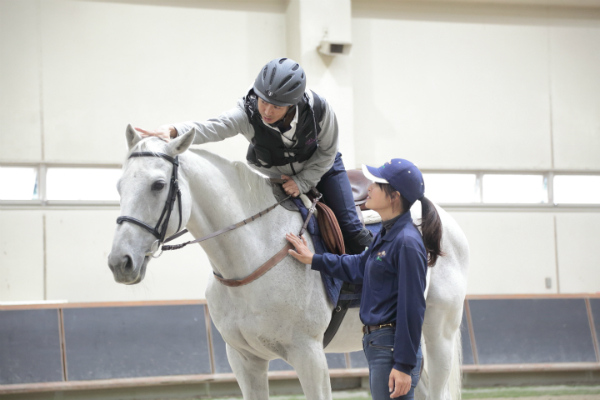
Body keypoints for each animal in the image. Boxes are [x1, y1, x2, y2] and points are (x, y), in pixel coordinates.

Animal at [110, 126, 472, 400]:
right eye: (119, 185)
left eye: (158, 185)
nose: (120, 262)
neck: (251, 254)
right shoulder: (244, 360)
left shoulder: (309, 356)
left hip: (437, 337)